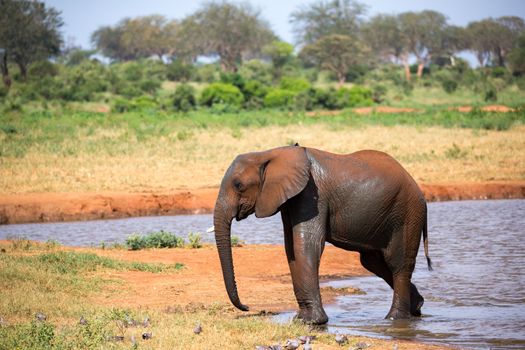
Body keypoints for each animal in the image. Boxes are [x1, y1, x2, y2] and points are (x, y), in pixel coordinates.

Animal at [213, 145, 430, 326]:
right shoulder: (290, 200)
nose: (248, 307)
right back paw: (417, 306)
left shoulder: (311, 195)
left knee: (397, 264)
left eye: (238, 185)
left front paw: (313, 322)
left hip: (407, 214)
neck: (271, 153)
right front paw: (301, 319)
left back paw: (395, 319)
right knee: (373, 262)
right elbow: (291, 248)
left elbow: (306, 245)